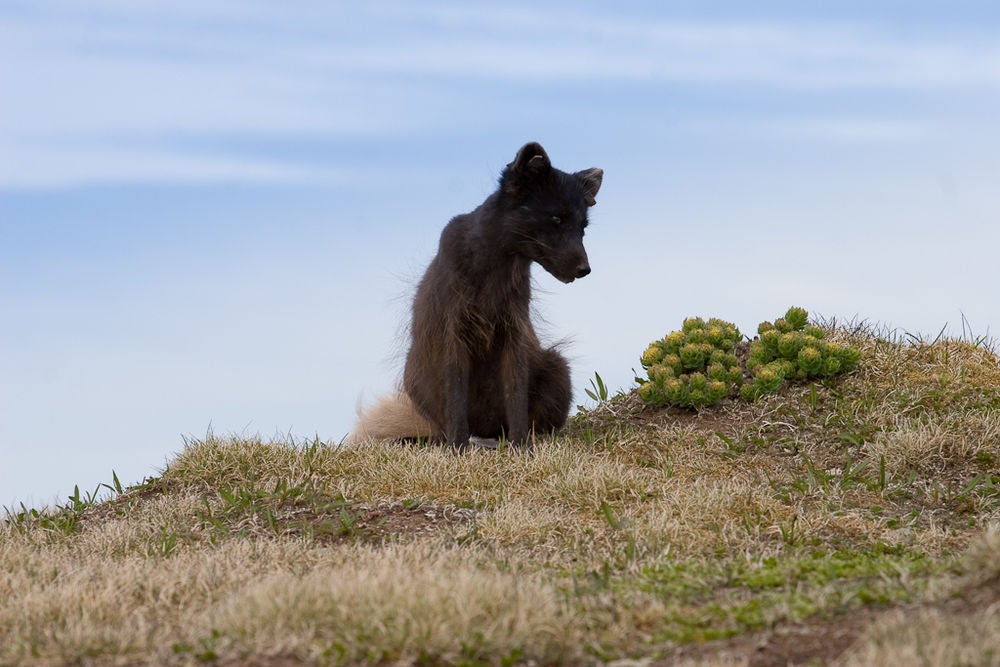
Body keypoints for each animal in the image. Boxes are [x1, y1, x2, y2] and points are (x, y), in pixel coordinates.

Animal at [349, 142, 603, 450]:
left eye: (583, 227)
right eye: (556, 218)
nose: (585, 270)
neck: (494, 263)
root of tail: (484, 430)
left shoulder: (513, 330)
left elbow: (516, 393)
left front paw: (521, 448)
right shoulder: (455, 332)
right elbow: (456, 396)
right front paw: (458, 450)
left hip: (557, 366)